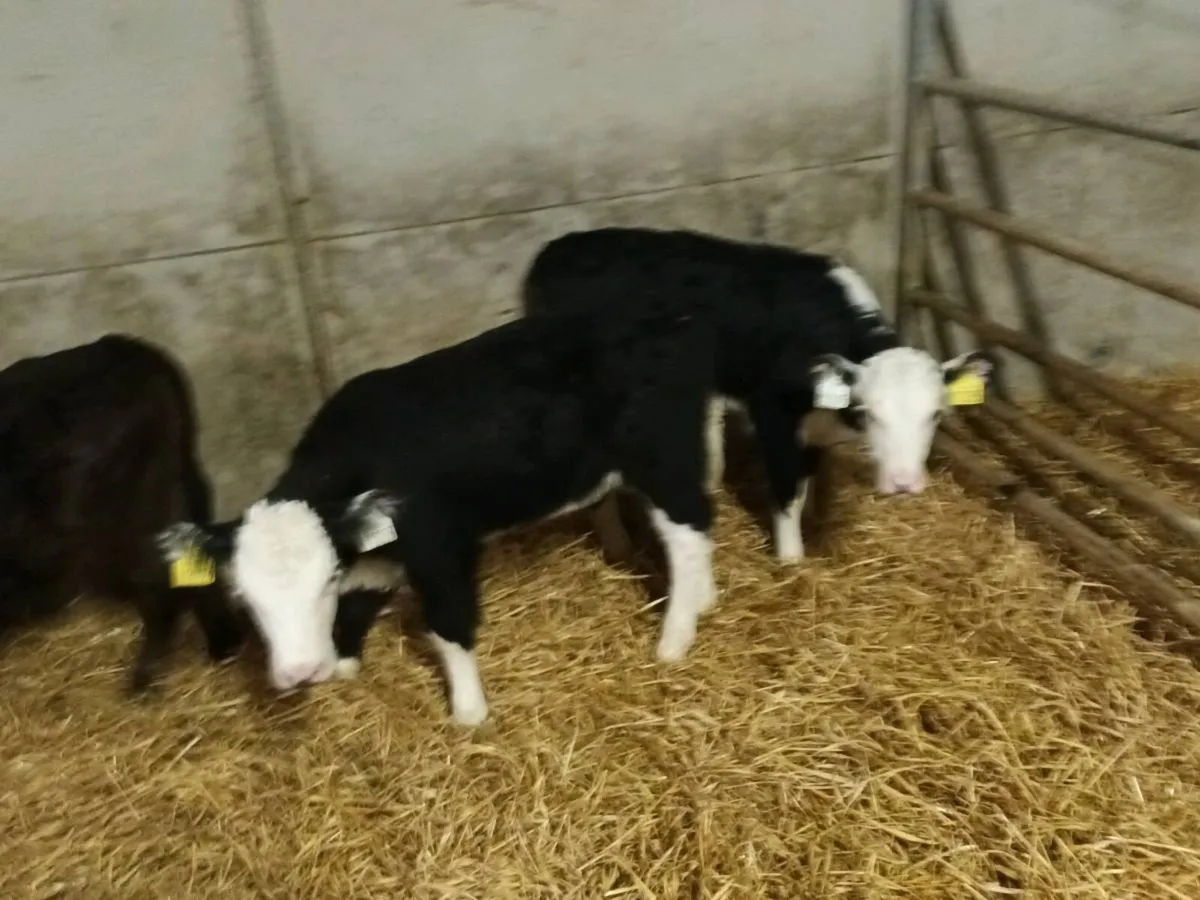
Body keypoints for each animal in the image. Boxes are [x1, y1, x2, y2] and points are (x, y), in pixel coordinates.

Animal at [0, 334, 243, 690]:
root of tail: (128, 349)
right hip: (172, 493)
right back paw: (223, 644)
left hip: (126, 520)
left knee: (160, 588)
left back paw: (144, 681)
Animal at [155, 308, 731, 726]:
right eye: (244, 600)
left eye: (325, 581)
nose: (300, 672)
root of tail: (668, 324)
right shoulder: (380, 547)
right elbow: (363, 599)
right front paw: (345, 663)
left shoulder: (440, 544)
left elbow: (449, 625)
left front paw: (469, 714)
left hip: (662, 456)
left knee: (689, 530)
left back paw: (674, 638)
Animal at [521, 226, 994, 563]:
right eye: (867, 412)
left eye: (936, 415)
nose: (904, 484)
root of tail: (558, 249)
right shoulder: (773, 414)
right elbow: (788, 492)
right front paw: (791, 561)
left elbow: (812, 478)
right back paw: (618, 545)